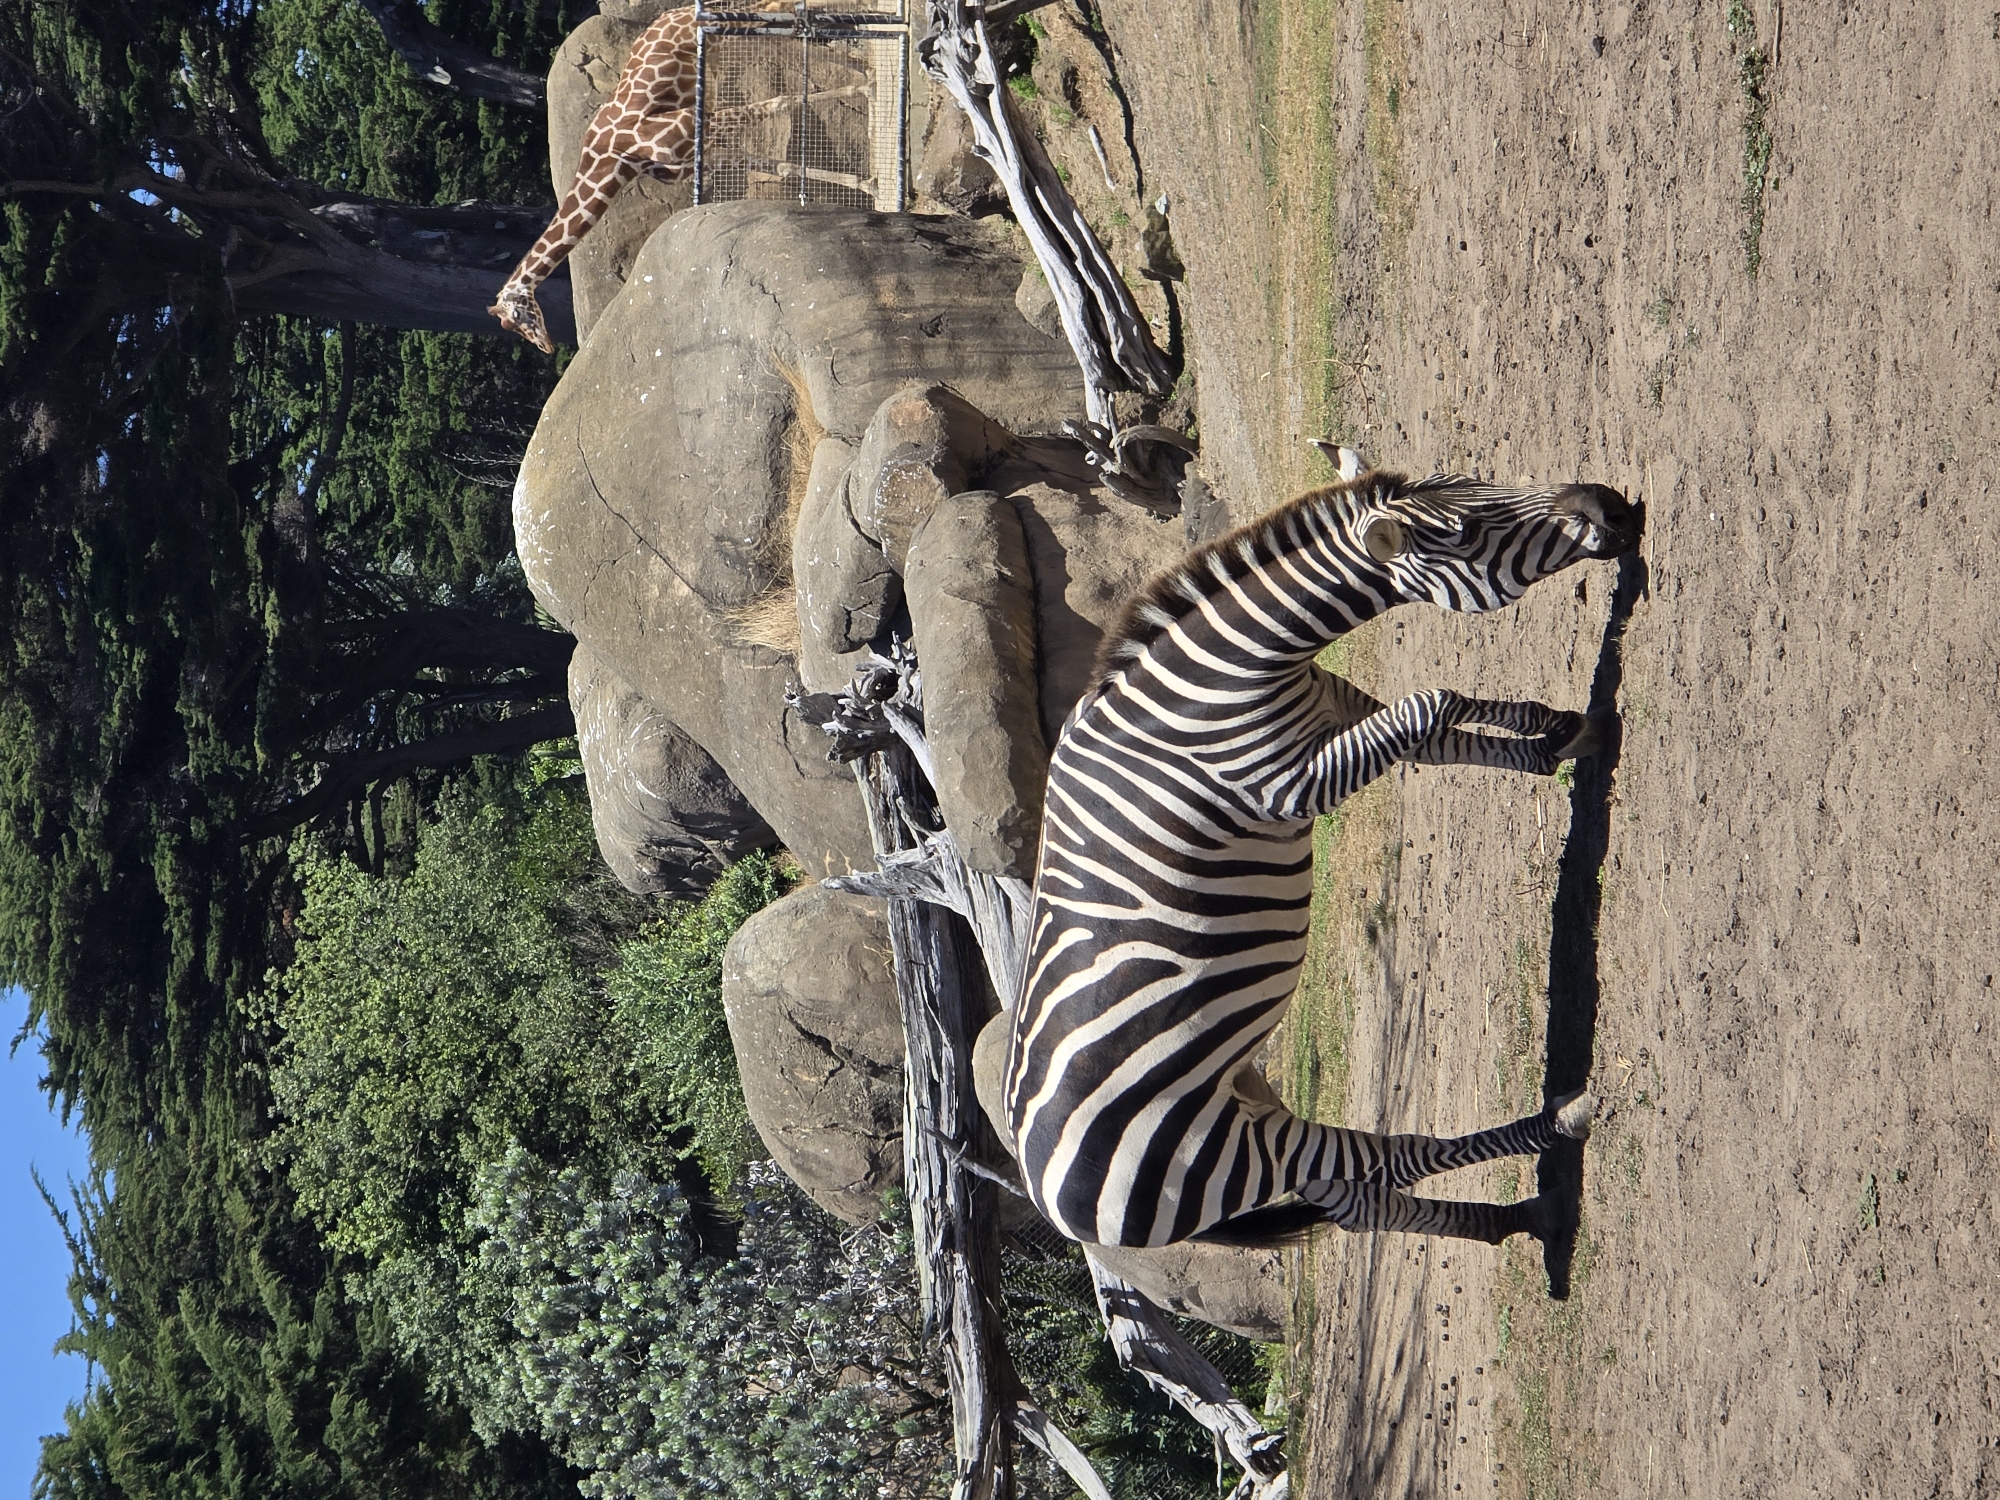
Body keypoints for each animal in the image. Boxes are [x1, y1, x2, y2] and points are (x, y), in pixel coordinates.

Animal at [1002, 464, 1643, 1250]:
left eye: (1478, 479)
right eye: (1467, 531)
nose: (1610, 508)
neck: (1236, 675)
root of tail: (1047, 1197)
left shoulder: (1336, 707)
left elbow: (1440, 723)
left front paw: (1564, 732)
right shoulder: (1289, 786)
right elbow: (1432, 702)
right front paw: (1562, 734)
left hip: (1245, 1107)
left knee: (1366, 1200)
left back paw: (1517, 1218)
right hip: (1226, 1149)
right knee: (1390, 1161)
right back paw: (1558, 1127)